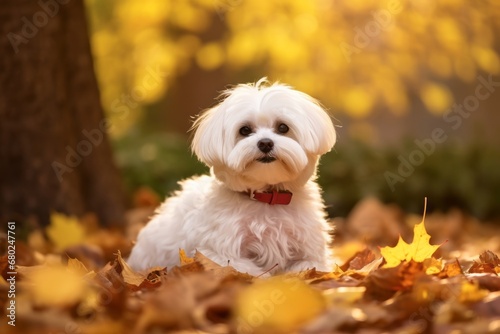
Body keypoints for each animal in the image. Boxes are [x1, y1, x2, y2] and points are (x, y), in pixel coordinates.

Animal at [127, 79, 336, 276]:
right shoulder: (218, 254)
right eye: (245, 130)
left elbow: (310, 266)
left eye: (283, 127)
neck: (265, 198)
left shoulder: (312, 253)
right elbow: (246, 272)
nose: (265, 143)